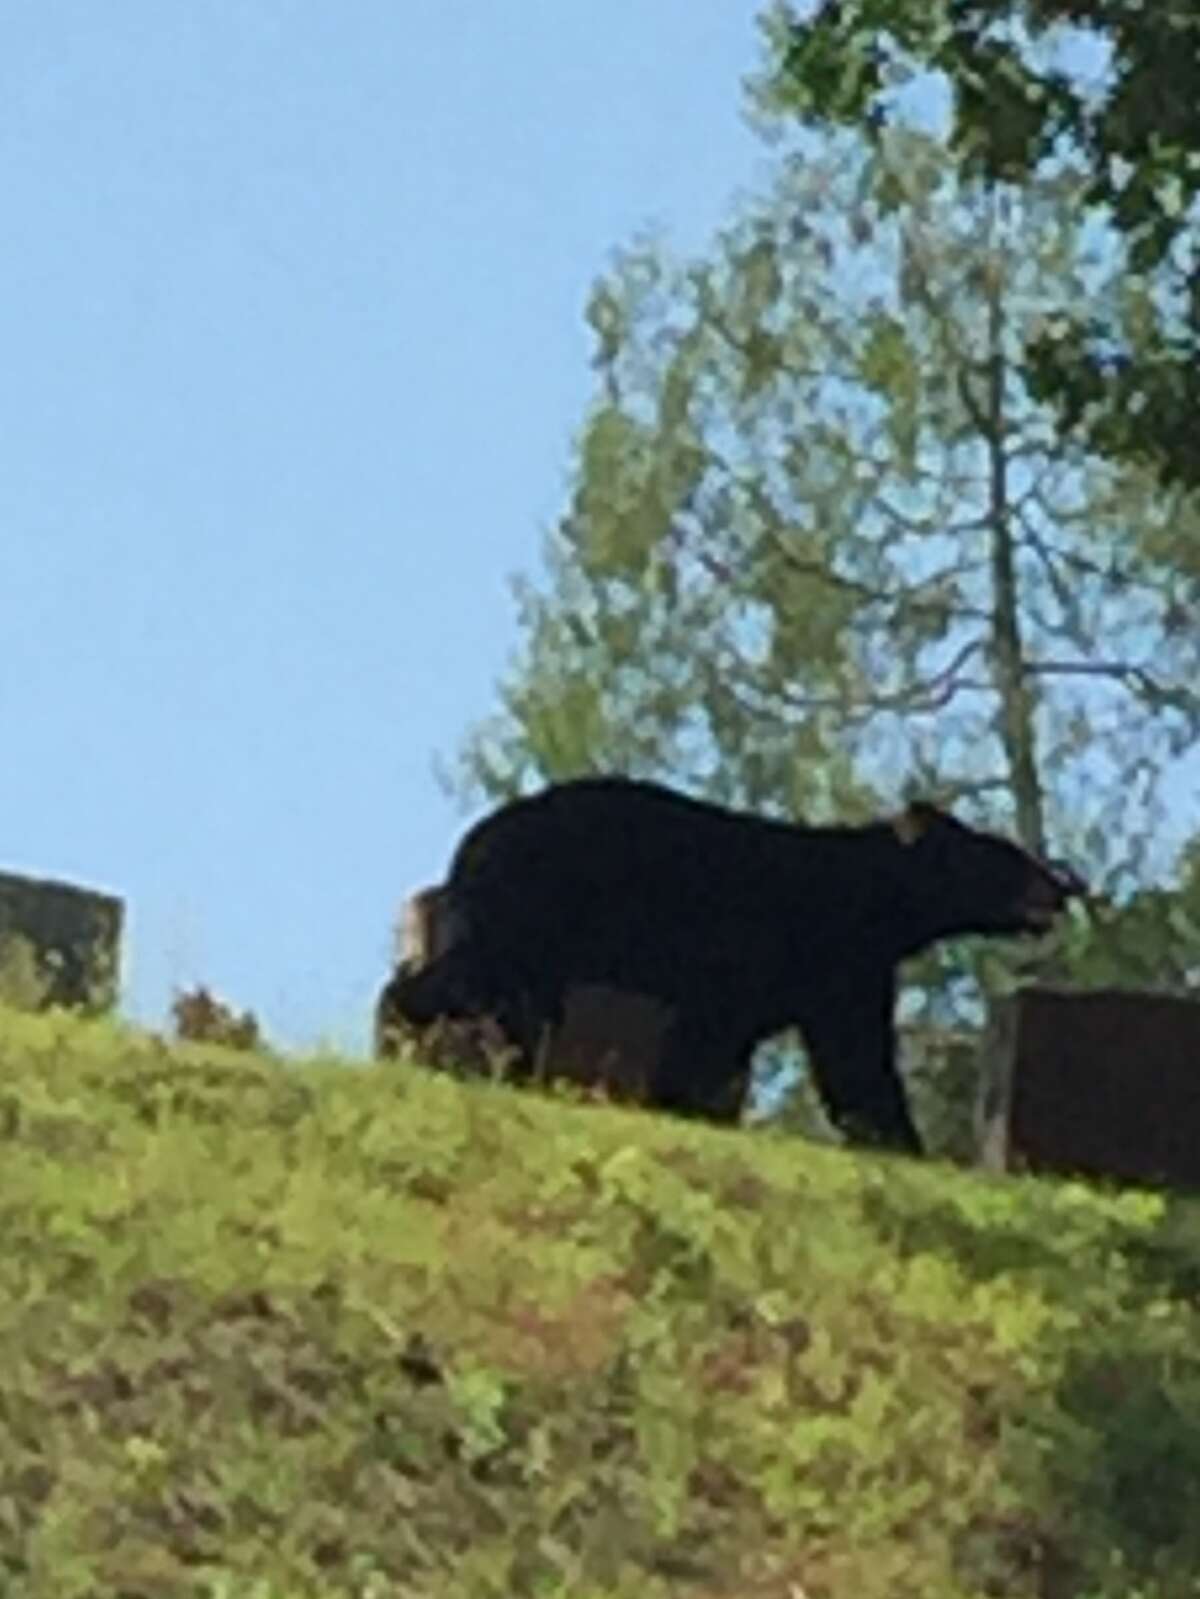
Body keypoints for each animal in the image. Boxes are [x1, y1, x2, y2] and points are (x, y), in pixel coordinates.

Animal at [376, 776, 1085, 1153]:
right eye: (1004, 855)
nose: (1064, 884)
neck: (871, 898)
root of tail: (471, 844)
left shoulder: (796, 972)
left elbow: (725, 1039)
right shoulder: (822, 954)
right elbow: (852, 1057)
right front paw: (903, 1141)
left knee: (519, 1002)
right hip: (533, 910)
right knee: (479, 978)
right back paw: (404, 1029)